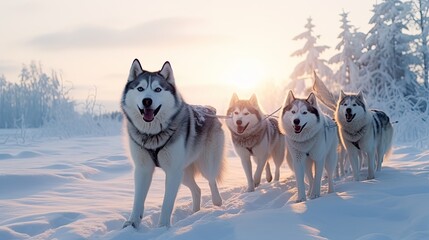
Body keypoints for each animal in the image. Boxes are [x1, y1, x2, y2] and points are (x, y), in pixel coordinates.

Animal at [120, 59, 224, 228]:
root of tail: (210, 109)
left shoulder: (173, 171)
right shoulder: (143, 169)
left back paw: (217, 204)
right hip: (184, 174)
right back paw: (194, 213)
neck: (152, 135)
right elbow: (137, 201)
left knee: (211, 181)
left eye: (158, 89)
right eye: (140, 88)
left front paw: (162, 228)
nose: (146, 100)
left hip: (204, 165)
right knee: (197, 190)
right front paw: (132, 225)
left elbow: (167, 203)